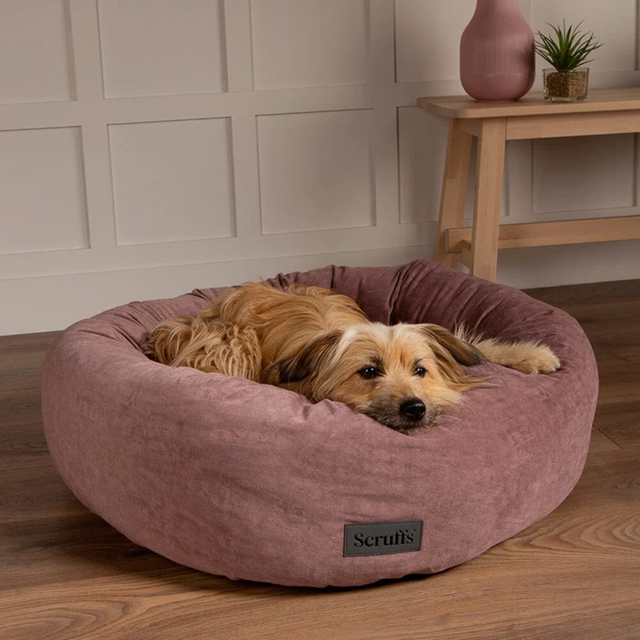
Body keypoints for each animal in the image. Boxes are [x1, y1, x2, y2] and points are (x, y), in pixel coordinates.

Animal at [142, 282, 556, 432]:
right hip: (233, 341)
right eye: (369, 371)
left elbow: (476, 346)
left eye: (420, 370)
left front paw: (534, 355)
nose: (415, 408)